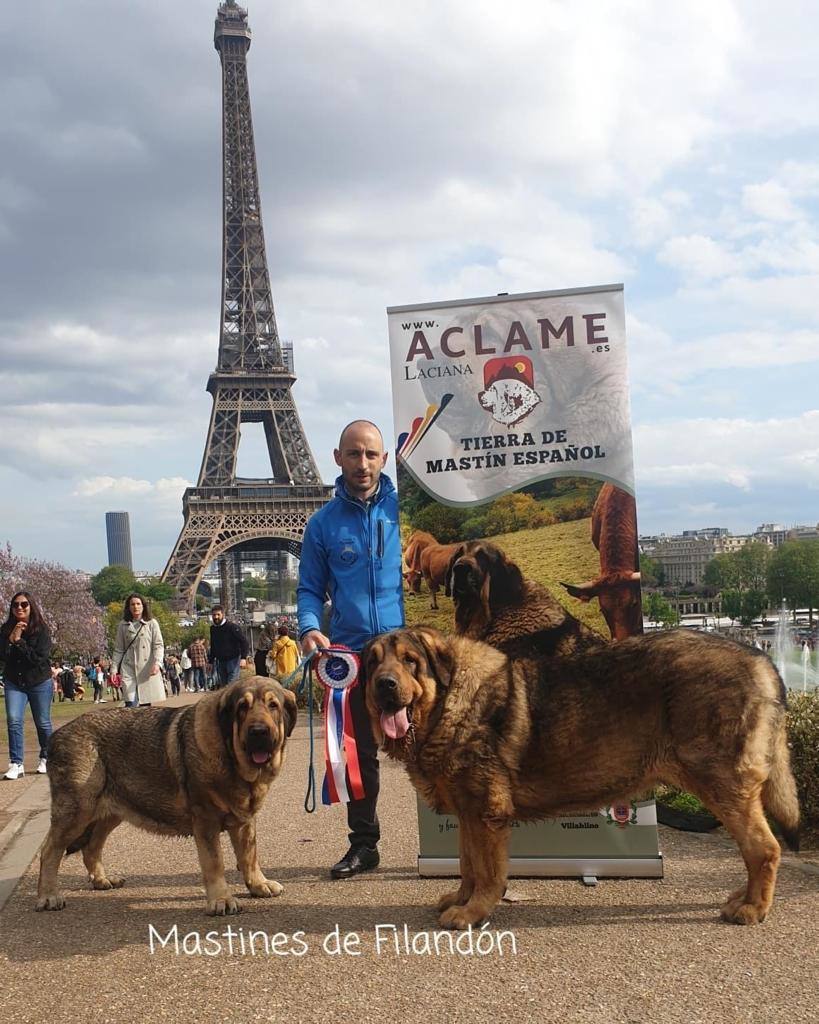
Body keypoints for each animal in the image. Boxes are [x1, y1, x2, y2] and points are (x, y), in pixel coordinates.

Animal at [36, 675, 296, 917]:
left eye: (273, 705)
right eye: (242, 707)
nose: (259, 731)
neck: (233, 761)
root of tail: (56, 736)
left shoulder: (244, 821)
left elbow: (249, 856)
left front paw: (258, 884)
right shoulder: (206, 821)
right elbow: (215, 862)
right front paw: (221, 899)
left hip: (108, 814)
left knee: (92, 847)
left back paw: (102, 880)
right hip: (77, 811)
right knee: (50, 851)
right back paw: (48, 896)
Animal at [364, 626, 798, 933]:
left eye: (410, 661)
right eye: (373, 663)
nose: (384, 684)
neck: (448, 703)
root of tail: (760, 658)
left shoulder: (485, 815)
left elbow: (486, 871)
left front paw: (472, 912)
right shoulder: (468, 816)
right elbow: (467, 865)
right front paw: (460, 899)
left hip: (721, 784)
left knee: (763, 848)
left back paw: (753, 908)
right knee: (755, 850)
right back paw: (744, 898)